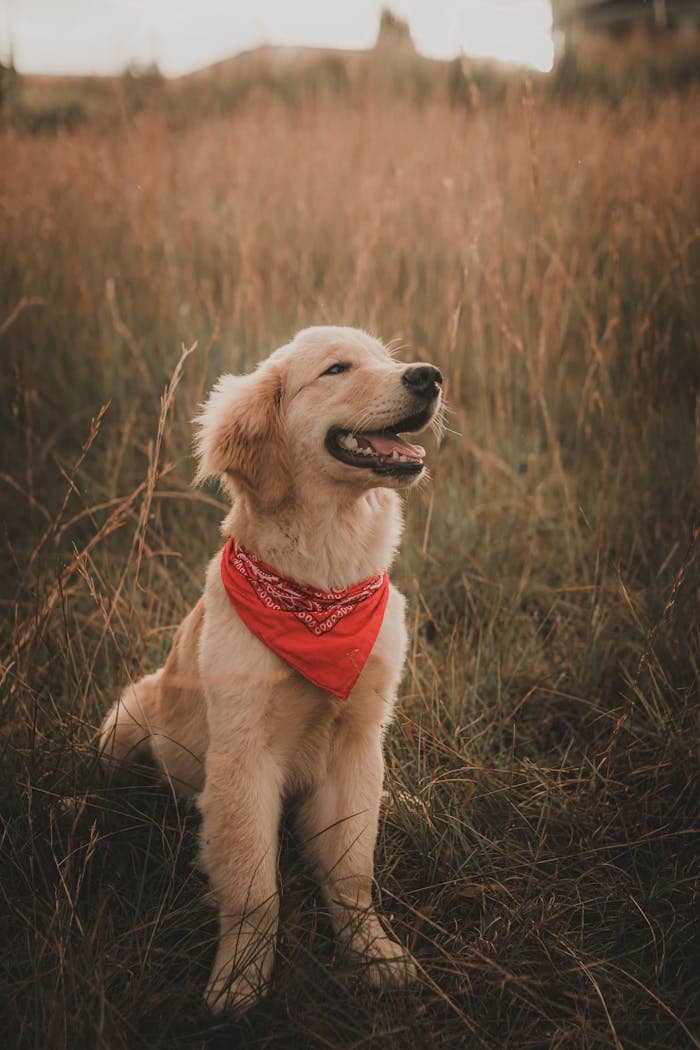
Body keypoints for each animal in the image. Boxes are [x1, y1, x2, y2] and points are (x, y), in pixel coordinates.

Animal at [99, 323, 442, 1012]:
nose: (429, 376)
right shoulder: (243, 755)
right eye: (337, 369)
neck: (322, 587)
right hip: (123, 725)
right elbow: (255, 888)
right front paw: (240, 978)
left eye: (388, 358)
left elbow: (352, 868)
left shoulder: (358, 739)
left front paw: (374, 953)